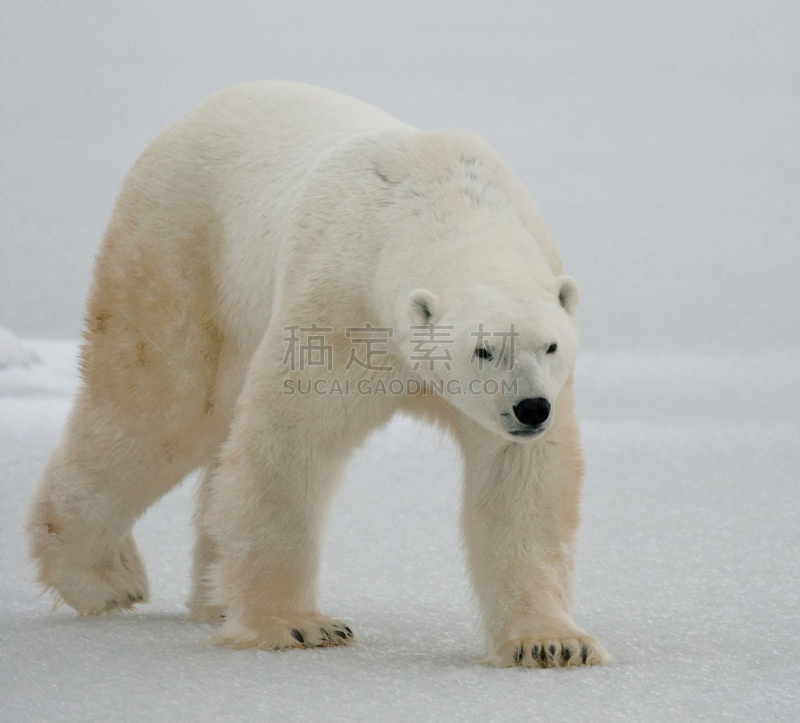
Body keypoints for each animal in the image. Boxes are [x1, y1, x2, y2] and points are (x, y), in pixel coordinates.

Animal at [28, 79, 608, 668]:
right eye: (483, 350)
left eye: (551, 345)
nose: (531, 408)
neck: (439, 201)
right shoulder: (340, 307)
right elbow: (291, 439)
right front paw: (299, 625)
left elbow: (520, 478)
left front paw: (551, 642)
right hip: (185, 254)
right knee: (164, 409)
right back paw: (103, 577)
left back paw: (213, 597)